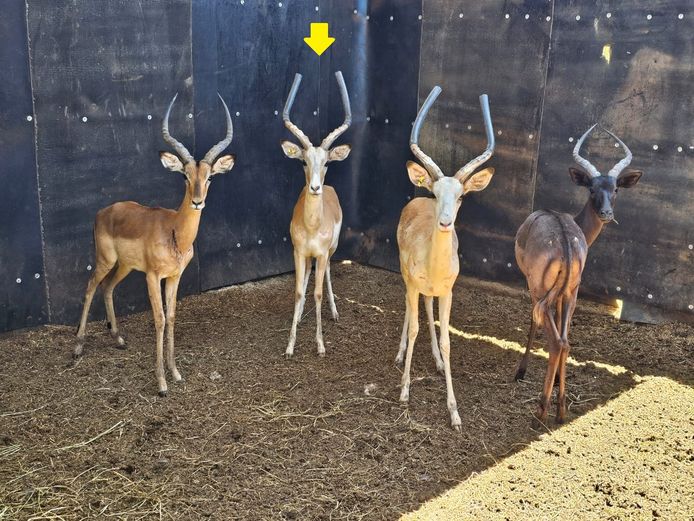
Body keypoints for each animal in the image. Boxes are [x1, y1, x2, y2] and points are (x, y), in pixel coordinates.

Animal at [73, 93, 236, 397]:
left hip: (124, 266)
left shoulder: (174, 277)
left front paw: (176, 373)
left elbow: (171, 316)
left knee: (107, 287)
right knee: (90, 286)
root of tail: (103, 212)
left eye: (209, 177)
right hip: (106, 260)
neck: (175, 232)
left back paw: (119, 339)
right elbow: (159, 319)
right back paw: (77, 347)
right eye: (184, 175)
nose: (197, 201)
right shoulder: (152, 276)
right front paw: (161, 383)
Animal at [396, 87, 495, 430]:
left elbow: (447, 339)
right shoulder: (413, 283)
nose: (445, 222)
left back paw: (437, 363)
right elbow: (414, 326)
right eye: (437, 193)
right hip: (406, 278)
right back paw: (400, 354)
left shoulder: (449, 291)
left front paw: (454, 413)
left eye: (462, 195)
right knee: (410, 310)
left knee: (427, 309)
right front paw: (404, 391)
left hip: (433, 292)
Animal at [514, 124, 642, 423]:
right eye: (592, 188)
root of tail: (564, 243)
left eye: (615, 188)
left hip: (540, 290)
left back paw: (542, 409)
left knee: (556, 340)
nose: (606, 212)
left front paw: (521, 372)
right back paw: (560, 409)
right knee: (565, 341)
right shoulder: (564, 294)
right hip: (570, 293)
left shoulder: (535, 289)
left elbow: (532, 323)